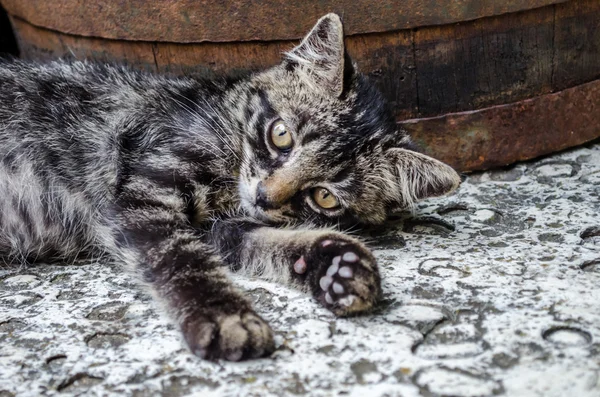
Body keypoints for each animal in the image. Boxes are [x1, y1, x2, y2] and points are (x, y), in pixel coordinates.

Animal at [0, 13, 460, 358]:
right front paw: (224, 317)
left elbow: (257, 241)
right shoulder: (143, 193)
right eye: (280, 136)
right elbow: (181, 260)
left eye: (324, 196)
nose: (264, 196)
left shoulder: (220, 225)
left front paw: (333, 264)